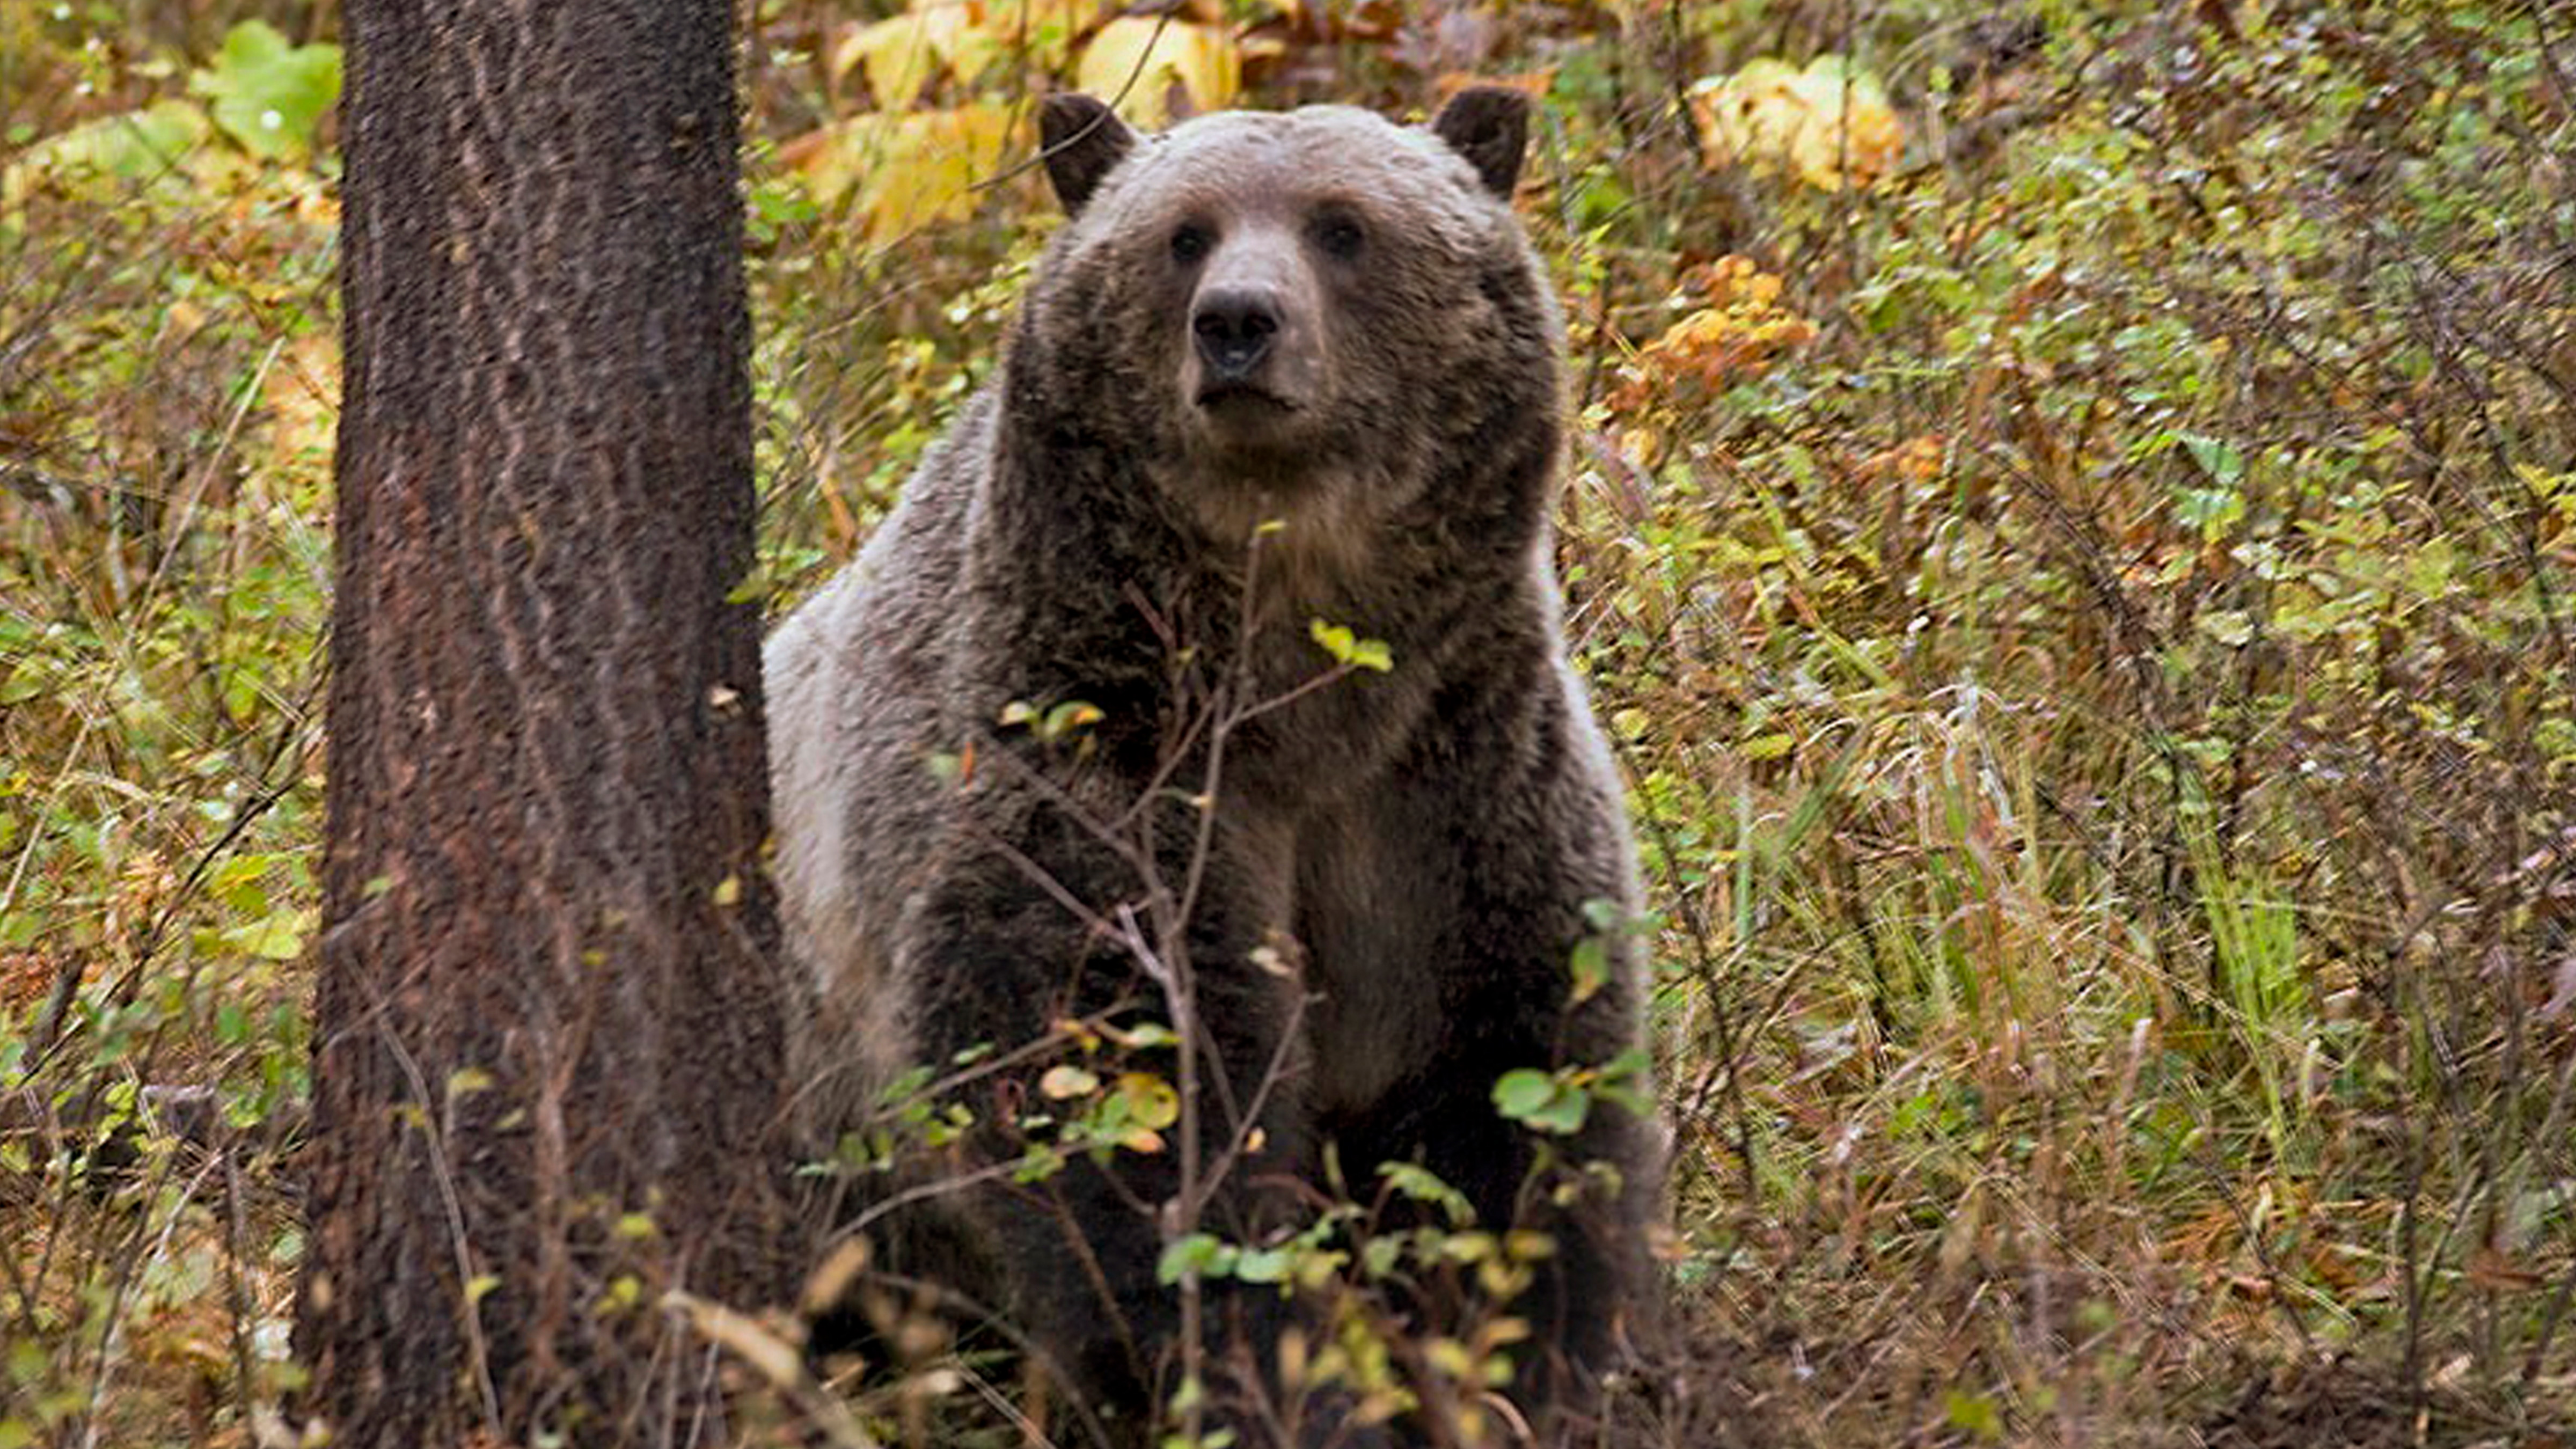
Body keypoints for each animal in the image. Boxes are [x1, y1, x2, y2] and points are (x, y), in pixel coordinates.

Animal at [765, 87, 1659, 1445]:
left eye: (1342, 226)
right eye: (1183, 233)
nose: (1238, 323)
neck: (1300, 679)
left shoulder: (1451, 785)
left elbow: (1511, 1088)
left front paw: (1522, 1360)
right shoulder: (1101, 757)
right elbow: (1130, 1100)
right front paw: (1274, 1374)